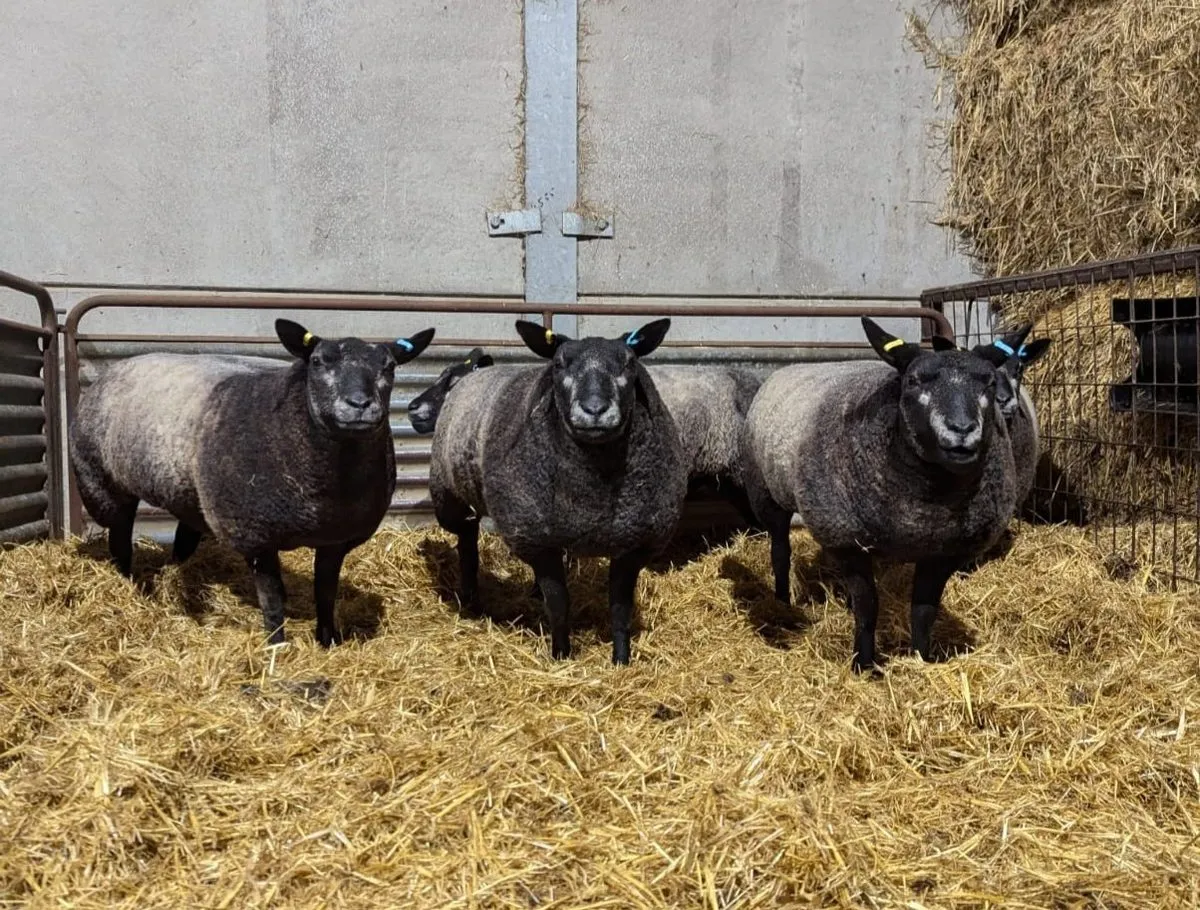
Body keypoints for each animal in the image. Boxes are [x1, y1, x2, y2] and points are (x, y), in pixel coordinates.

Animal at [70, 319, 435, 646]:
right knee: (119, 540)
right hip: (101, 482)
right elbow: (272, 599)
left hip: (193, 496)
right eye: (318, 362)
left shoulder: (336, 538)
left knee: (184, 538)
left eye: (389, 367)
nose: (359, 405)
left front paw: (327, 641)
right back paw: (128, 584)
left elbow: (325, 592)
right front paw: (276, 647)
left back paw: (175, 571)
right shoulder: (256, 535)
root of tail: (116, 369)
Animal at [429, 318, 688, 664]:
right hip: (450, 497)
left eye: (630, 363)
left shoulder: (634, 543)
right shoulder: (538, 541)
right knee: (467, 539)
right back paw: (470, 598)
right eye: (559, 364)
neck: (594, 493)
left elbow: (620, 608)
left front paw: (621, 659)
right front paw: (561, 655)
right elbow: (559, 604)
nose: (595, 409)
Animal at [741, 317, 1030, 672]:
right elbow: (868, 607)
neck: (927, 506)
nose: (962, 430)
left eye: (989, 382)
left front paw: (921, 659)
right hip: (767, 494)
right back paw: (782, 600)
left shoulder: (943, 552)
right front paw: (864, 665)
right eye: (913, 381)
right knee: (780, 551)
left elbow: (923, 611)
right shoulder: (846, 541)